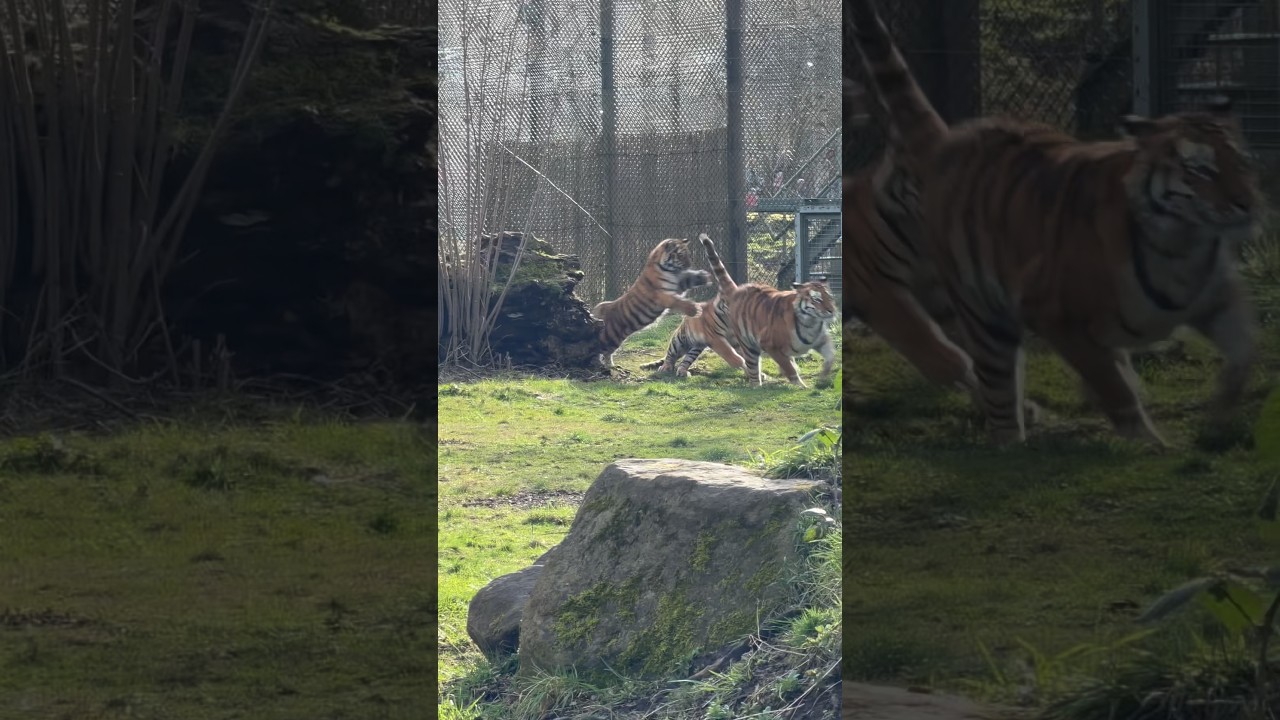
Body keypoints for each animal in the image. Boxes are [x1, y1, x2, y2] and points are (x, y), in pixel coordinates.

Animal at [591, 237, 713, 368]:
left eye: (688, 254)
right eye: (680, 255)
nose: (689, 265)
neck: (669, 270)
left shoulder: (678, 284)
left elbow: (688, 279)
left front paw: (704, 276)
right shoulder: (662, 295)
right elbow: (678, 301)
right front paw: (695, 309)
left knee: (606, 352)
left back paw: (610, 365)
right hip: (609, 337)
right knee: (598, 350)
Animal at [700, 233, 837, 387]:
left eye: (829, 297)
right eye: (817, 299)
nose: (831, 310)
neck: (811, 323)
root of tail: (736, 290)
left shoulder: (821, 340)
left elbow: (831, 356)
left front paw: (823, 377)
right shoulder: (771, 345)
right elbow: (789, 369)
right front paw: (801, 386)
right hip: (748, 345)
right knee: (753, 368)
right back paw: (756, 386)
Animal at [848, 0, 1263, 446]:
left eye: (1241, 163)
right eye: (1200, 170)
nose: (1246, 204)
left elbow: (1243, 348)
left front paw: (1218, 417)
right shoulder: (881, 291)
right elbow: (950, 358)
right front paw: (1147, 439)